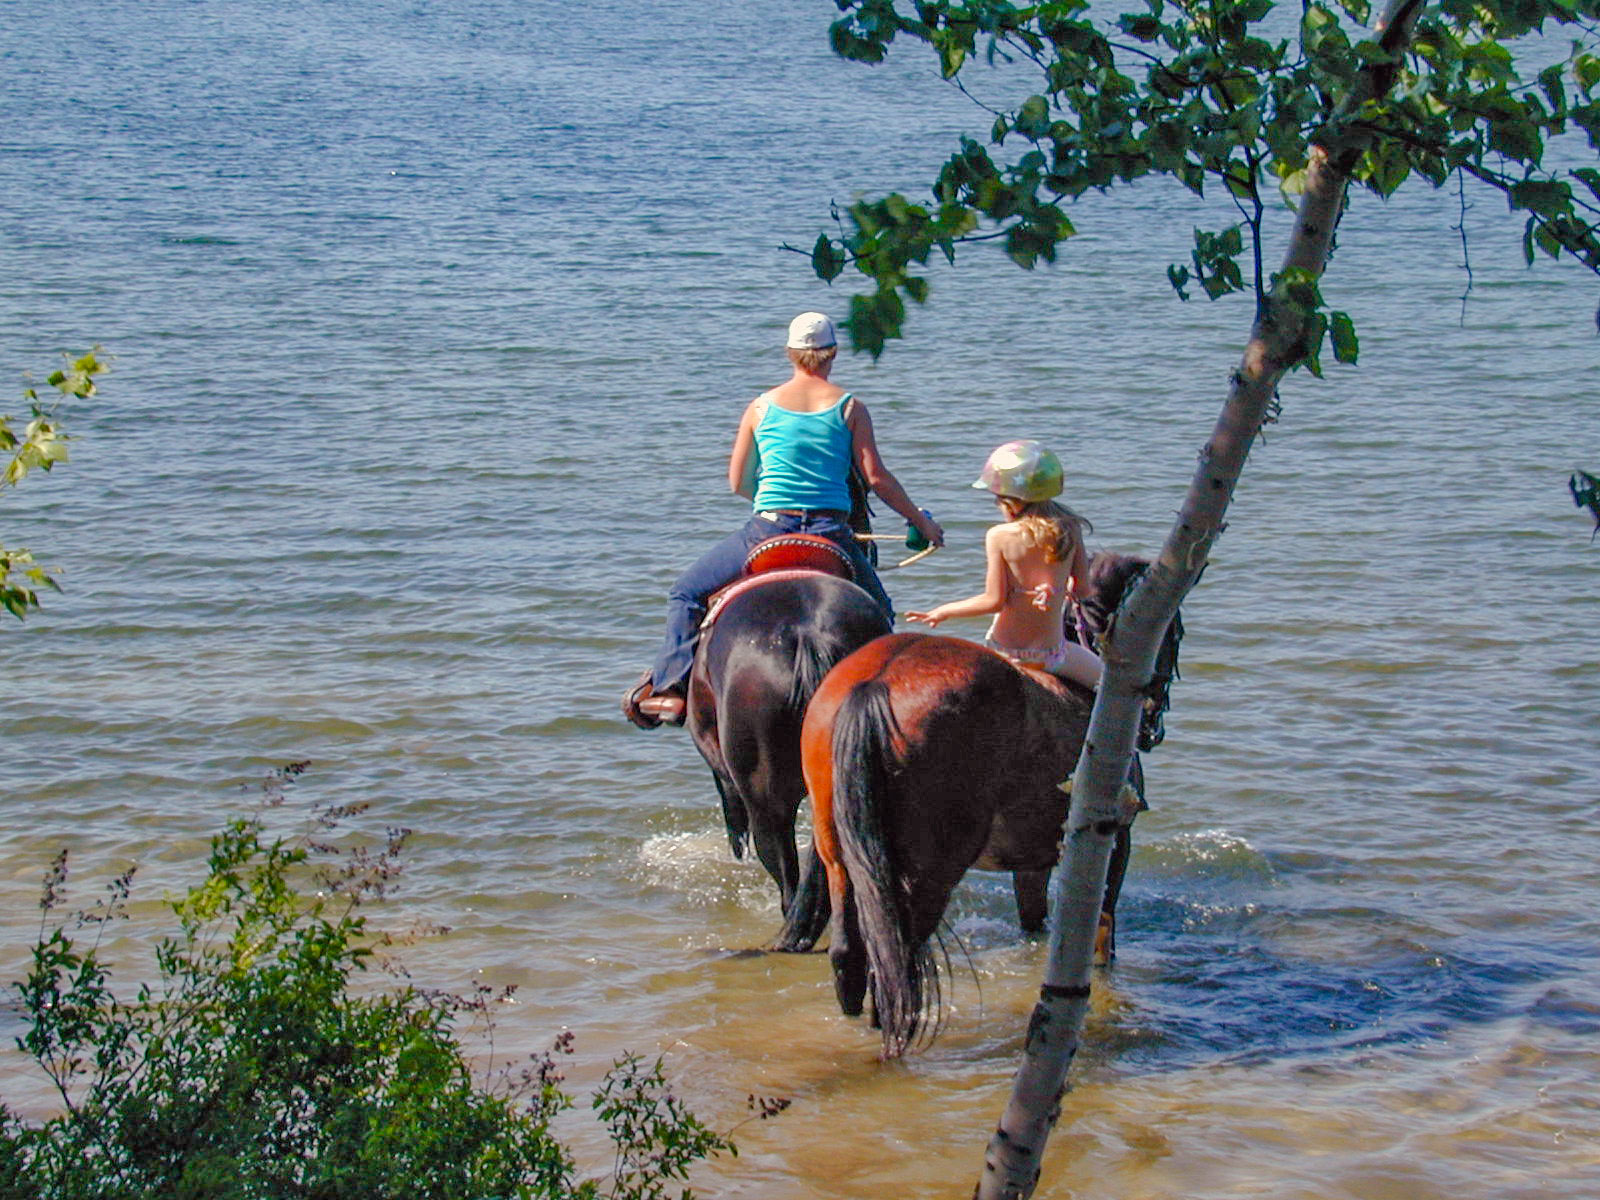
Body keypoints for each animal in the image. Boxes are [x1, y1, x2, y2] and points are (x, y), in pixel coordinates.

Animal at [796, 556, 1184, 1062]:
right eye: (1171, 632)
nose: (1154, 716)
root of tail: (875, 682)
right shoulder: (1115, 844)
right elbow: (1104, 932)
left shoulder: (1033, 860)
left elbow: (1034, 922)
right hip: (929, 873)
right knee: (895, 965)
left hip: (841, 860)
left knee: (849, 954)